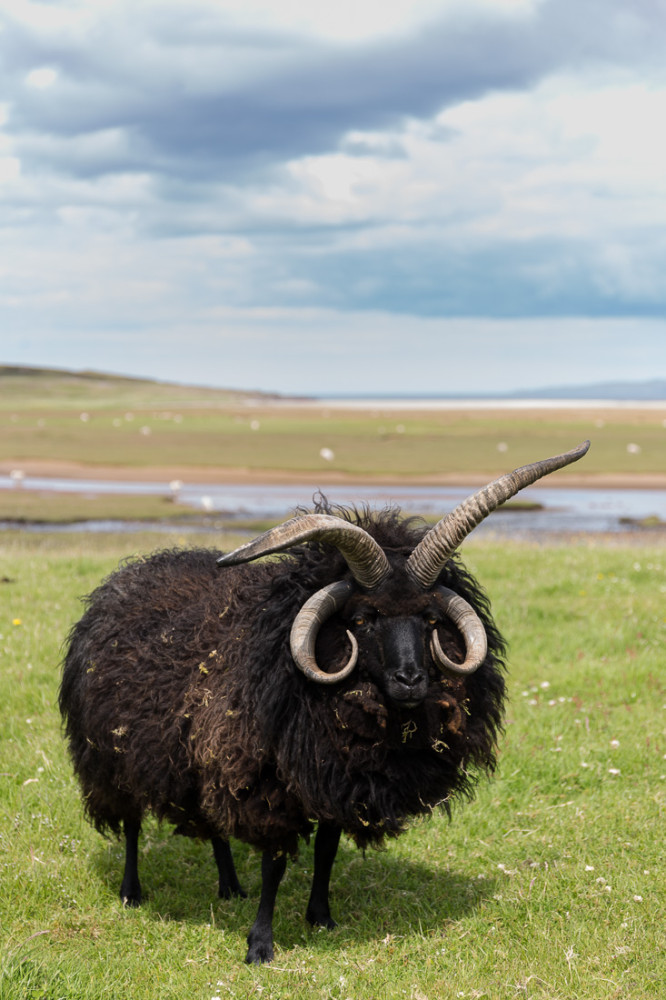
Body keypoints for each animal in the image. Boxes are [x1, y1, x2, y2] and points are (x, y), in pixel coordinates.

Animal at [59, 441, 589, 964]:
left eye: (432, 620)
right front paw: (260, 944)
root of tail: (124, 579)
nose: (411, 680)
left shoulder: (335, 779)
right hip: (113, 752)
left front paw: (321, 917)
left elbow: (327, 852)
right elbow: (274, 865)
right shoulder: (269, 782)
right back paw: (132, 892)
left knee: (213, 821)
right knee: (130, 821)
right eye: (361, 619)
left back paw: (229, 886)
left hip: (201, 756)